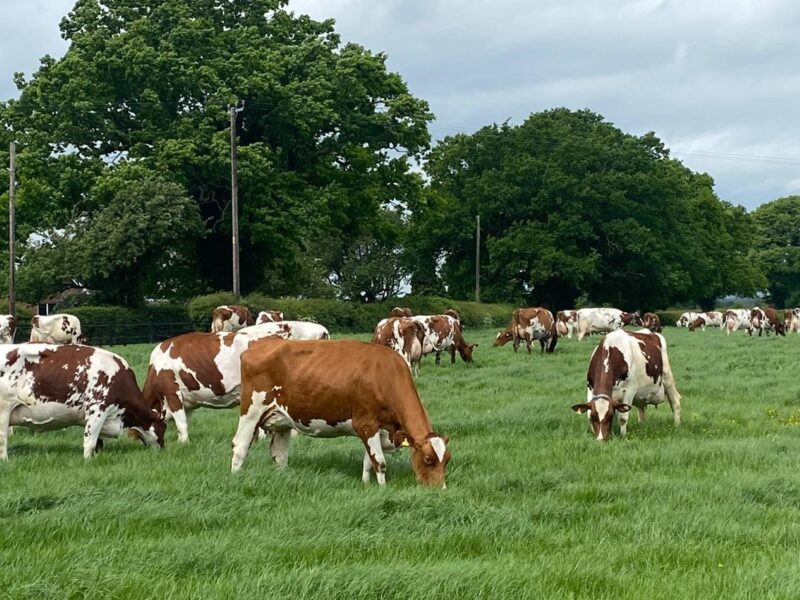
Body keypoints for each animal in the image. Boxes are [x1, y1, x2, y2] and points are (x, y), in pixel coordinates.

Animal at [0, 344, 164, 460]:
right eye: (164, 426)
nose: (163, 449)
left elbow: (98, 442)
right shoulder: (97, 409)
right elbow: (90, 441)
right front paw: (88, 460)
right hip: (4, 410)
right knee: (3, 440)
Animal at [143, 326, 293, 443]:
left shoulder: (172, 392)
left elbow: (181, 424)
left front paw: (184, 443)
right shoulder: (188, 401)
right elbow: (185, 422)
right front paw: (181, 441)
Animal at [230, 338, 451, 487]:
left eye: (447, 459)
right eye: (428, 459)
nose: (439, 489)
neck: (386, 375)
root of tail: (259, 343)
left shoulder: (375, 429)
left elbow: (368, 461)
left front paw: (366, 485)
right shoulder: (366, 424)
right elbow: (380, 463)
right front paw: (383, 489)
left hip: (282, 420)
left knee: (279, 455)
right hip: (251, 412)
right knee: (240, 447)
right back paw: (236, 478)